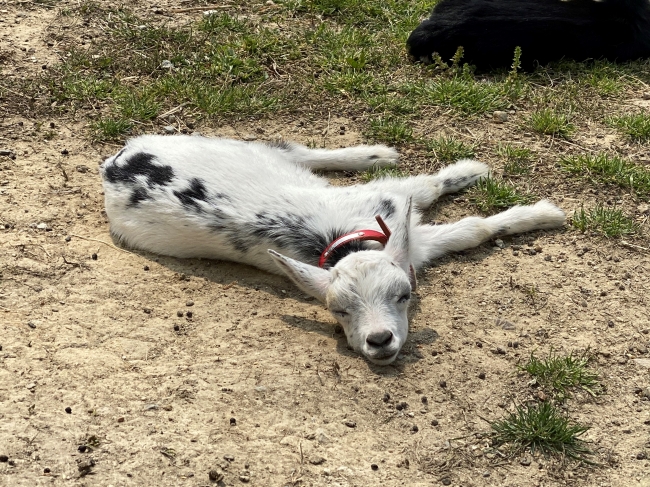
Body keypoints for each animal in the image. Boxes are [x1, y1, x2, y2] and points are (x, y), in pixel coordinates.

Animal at [100, 135, 560, 364]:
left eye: (403, 296)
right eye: (337, 310)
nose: (379, 341)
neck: (346, 239)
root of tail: (116, 162)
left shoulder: (393, 205)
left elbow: (439, 194)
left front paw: (529, 204)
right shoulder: (413, 239)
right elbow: (469, 228)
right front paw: (538, 212)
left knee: (294, 150)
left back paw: (375, 154)